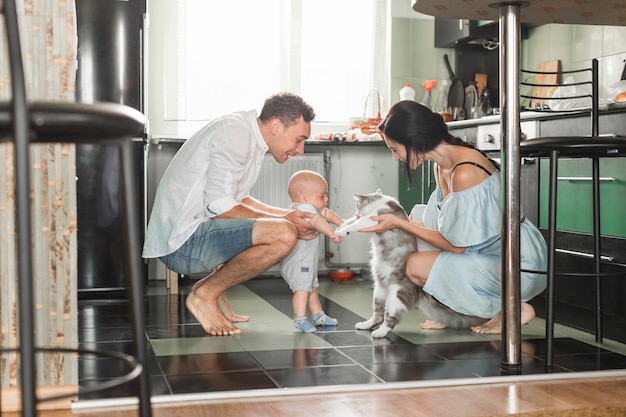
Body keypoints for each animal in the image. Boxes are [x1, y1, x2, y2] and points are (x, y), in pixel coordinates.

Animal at [334, 190, 486, 336]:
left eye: (357, 205)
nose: (356, 210)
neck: (380, 203)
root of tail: (419, 290)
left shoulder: (376, 219)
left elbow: (356, 224)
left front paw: (341, 232)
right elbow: (351, 221)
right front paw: (340, 225)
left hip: (395, 298)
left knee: (390, 320)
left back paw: (379, 333)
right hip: (378, 293)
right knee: (378, 316)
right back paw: (365, 325)